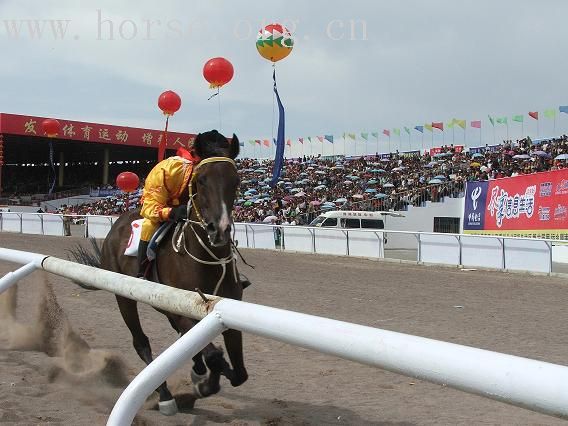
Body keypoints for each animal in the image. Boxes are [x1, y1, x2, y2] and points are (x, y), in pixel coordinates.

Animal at [99, 131, 248, 414]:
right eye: (201, 180)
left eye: (235, 181)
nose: (219, 230)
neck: (207, 262)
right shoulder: (183, 310)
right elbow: (214, 355)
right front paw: (203, 385)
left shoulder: (225, 310)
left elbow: (239, 373)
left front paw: (204, 375)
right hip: (124, 297)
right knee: (141, 342)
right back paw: (166, 396)